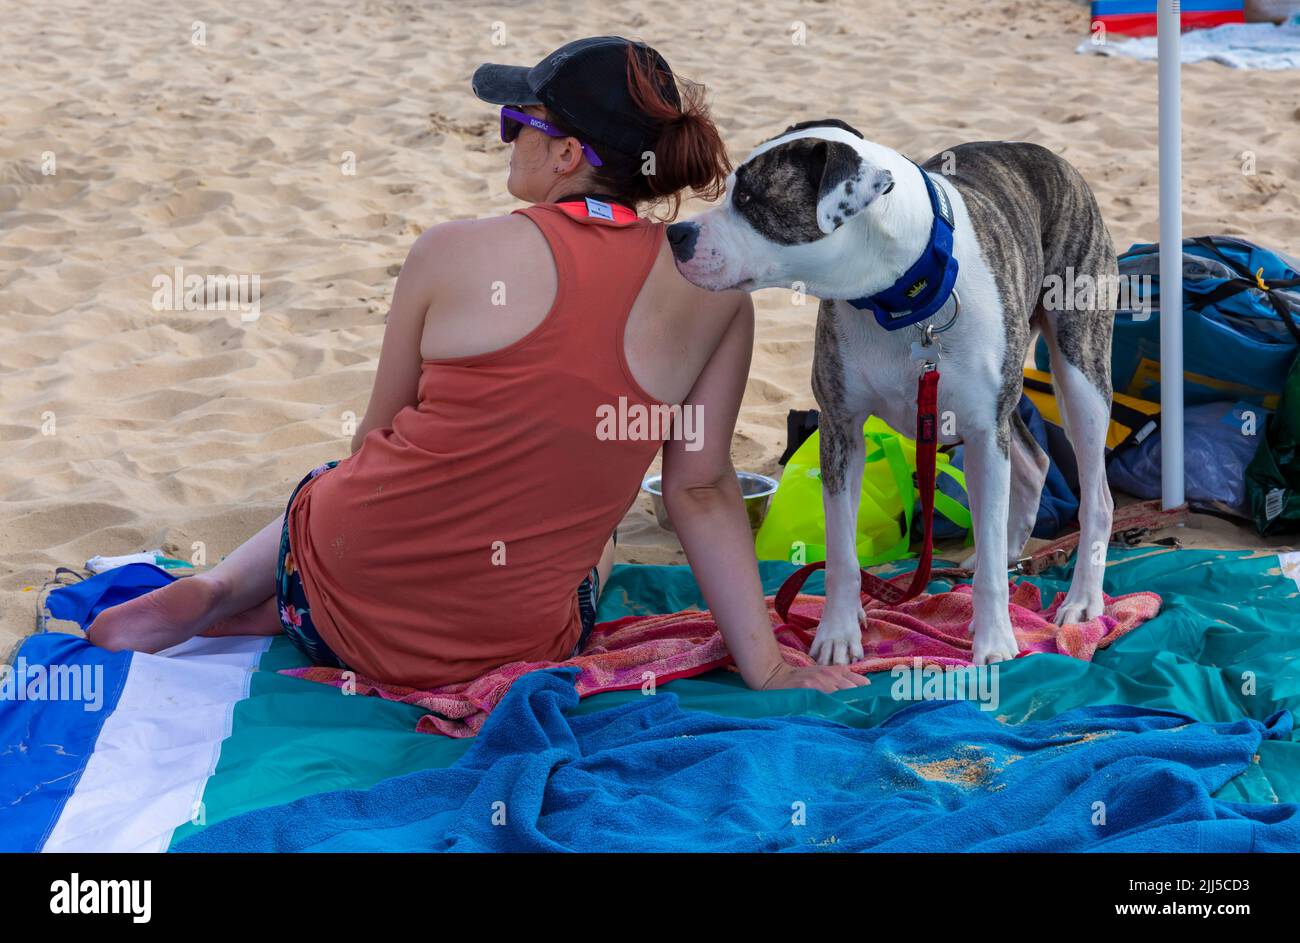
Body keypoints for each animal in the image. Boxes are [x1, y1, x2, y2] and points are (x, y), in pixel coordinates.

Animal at [670, 119, 1118, 663]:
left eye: (752, 198)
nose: (676, 234)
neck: (903, 294)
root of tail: (1050, 156)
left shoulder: (983, 432)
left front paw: (994, 640)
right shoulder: (841, 429)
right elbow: (842, 554)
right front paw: (838, 633)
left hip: (1079, 370)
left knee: (1095, 496)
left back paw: (1082, 600)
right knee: (1033, 464)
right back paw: (1007, 554)